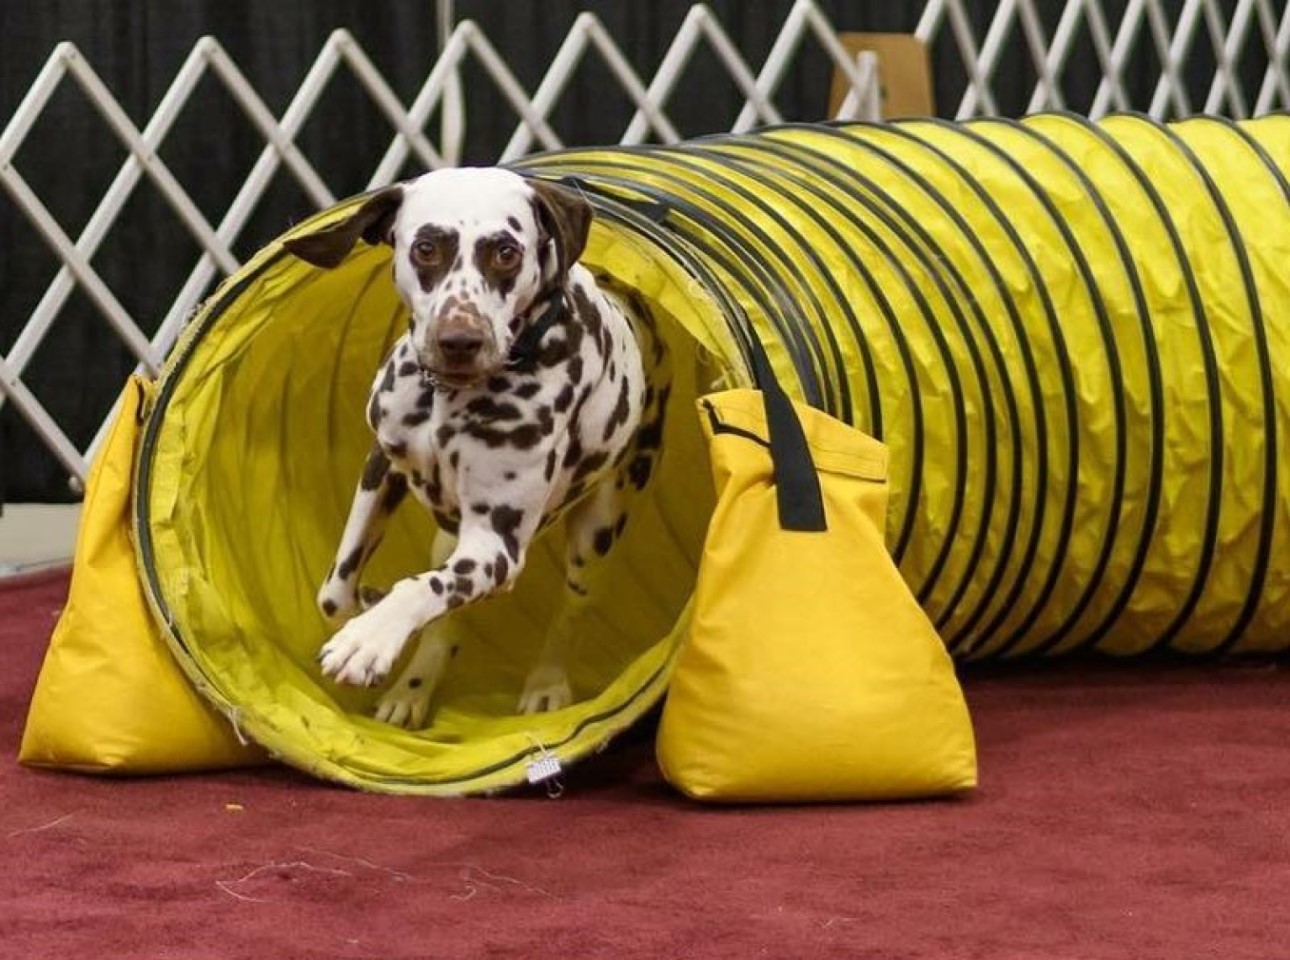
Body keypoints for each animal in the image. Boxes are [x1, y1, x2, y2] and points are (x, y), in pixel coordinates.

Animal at [281, 169, 665, 722]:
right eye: (426, 248)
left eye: (505, 252)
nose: (459, 340)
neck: (446, 398)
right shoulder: (381, 468)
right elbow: (334, 593)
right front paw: (368, 609)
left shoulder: (494, 545)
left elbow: (423, 587)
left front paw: (370, 639)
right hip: (450, 537)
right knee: (447, 625)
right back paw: (412, 689)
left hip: (595, 537)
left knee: (567, 616)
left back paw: (546, 682)